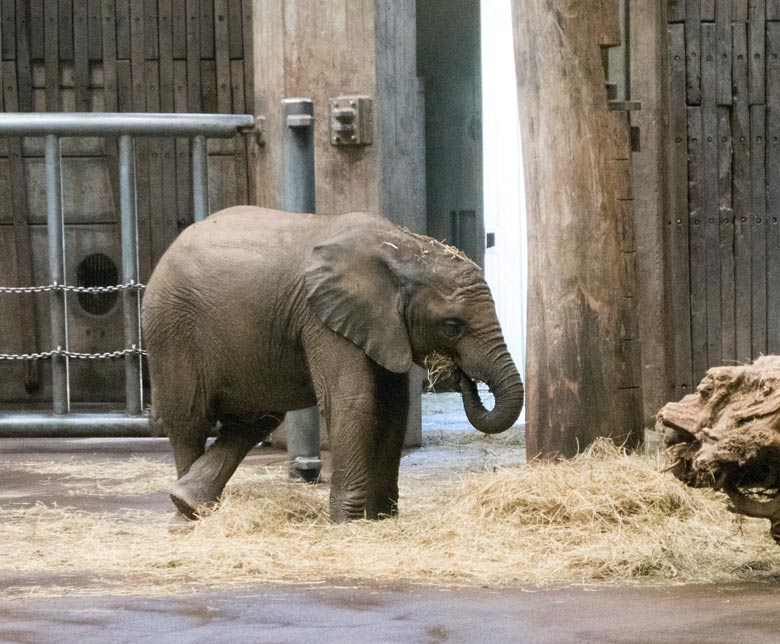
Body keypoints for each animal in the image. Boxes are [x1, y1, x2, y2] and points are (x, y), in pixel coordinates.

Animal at [145, 209, 524, 520]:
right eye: (452, 326)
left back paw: (189, 502)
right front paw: (347, 522)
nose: (461, 377)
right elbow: (353, 402)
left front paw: (381, 519)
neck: (402, 248)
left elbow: (393, 409)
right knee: (190, 420)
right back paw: (184, 516)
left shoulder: (380, 326)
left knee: (254, 421)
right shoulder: (323, 318)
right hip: (173, 328)